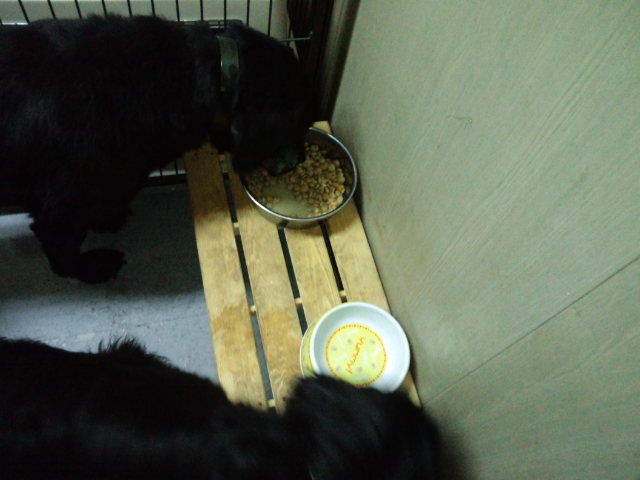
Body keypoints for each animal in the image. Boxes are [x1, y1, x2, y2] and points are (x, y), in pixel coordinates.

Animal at [0, 16, 312, 283]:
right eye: (298, 120)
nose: (302, 159)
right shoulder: (63, 206)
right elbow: (62, 249)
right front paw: (92, 268)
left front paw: (107, 218)